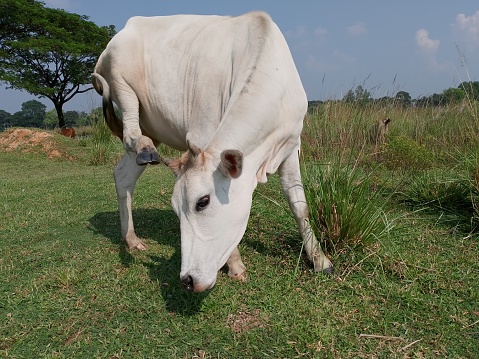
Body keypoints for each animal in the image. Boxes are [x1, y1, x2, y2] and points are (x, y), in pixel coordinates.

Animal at [92, 11, 332, 294]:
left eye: (202, 201)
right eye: (175, 207)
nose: (187, 279)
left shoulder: (292, 145)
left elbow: (299, 205)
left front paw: (320, 260)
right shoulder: (204, 135)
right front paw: (236, 265)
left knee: (123, 176)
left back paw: (130, 238)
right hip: (123, 86)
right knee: (131, 135)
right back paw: (143, 148)